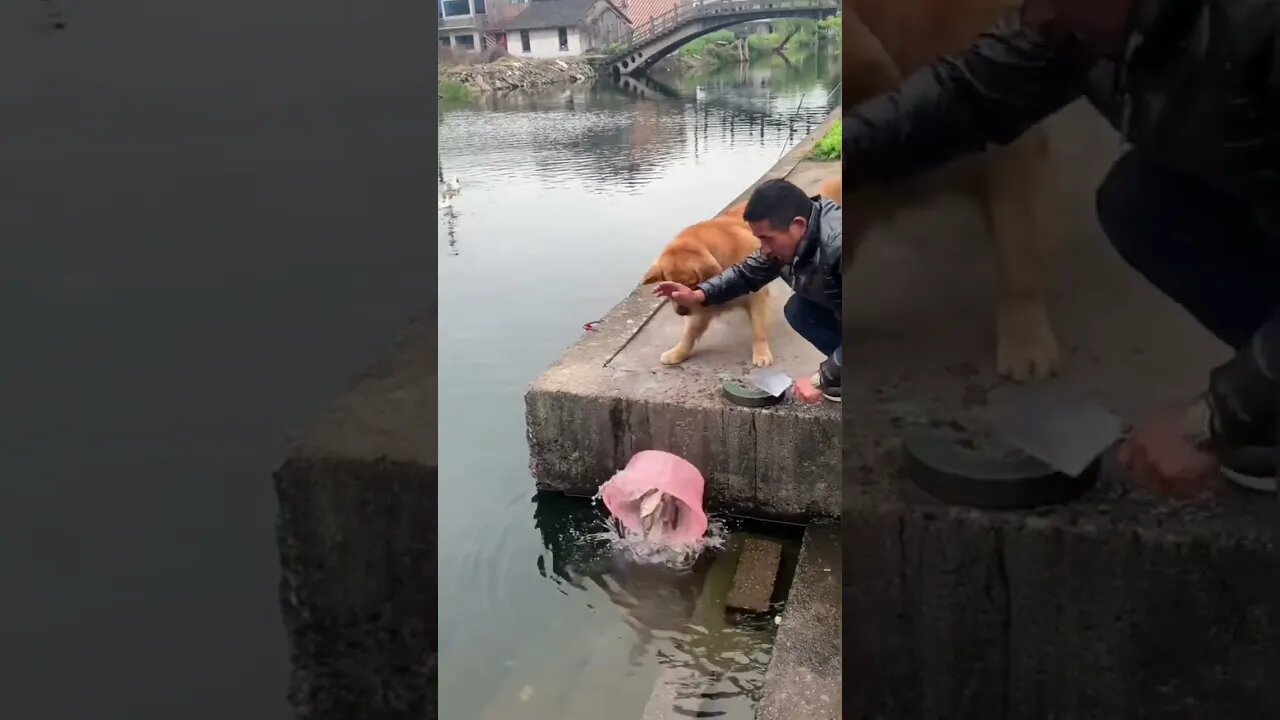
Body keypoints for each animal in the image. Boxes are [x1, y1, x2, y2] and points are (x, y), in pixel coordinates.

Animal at [637, 206, 768, 363]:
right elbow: (689, 334)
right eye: (669, 285)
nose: (681, 312)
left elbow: (759, 328)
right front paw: (677, 353)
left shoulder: (756, 296)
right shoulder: (699, 306)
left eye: (691, 283)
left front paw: (762, 353)